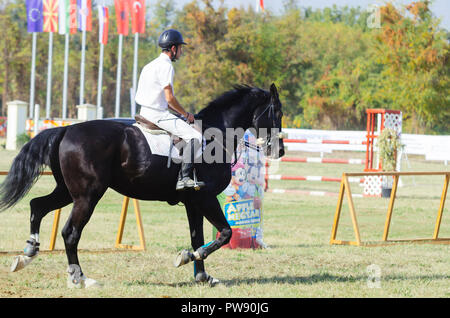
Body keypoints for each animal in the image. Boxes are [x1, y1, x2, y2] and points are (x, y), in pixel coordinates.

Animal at [0, 83, 284, 286]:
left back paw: (28, 253)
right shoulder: (205, 198)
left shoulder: (193, 202)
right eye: (278, 113)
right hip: (87, 196)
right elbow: (225, 233)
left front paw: (202, 275)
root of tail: (66, 130)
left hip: (68, 192)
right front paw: (188, 258)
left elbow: (197, 237)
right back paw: (79, 278)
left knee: (37, 206)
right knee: (70, 233)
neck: (216, 135)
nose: (280, 150)